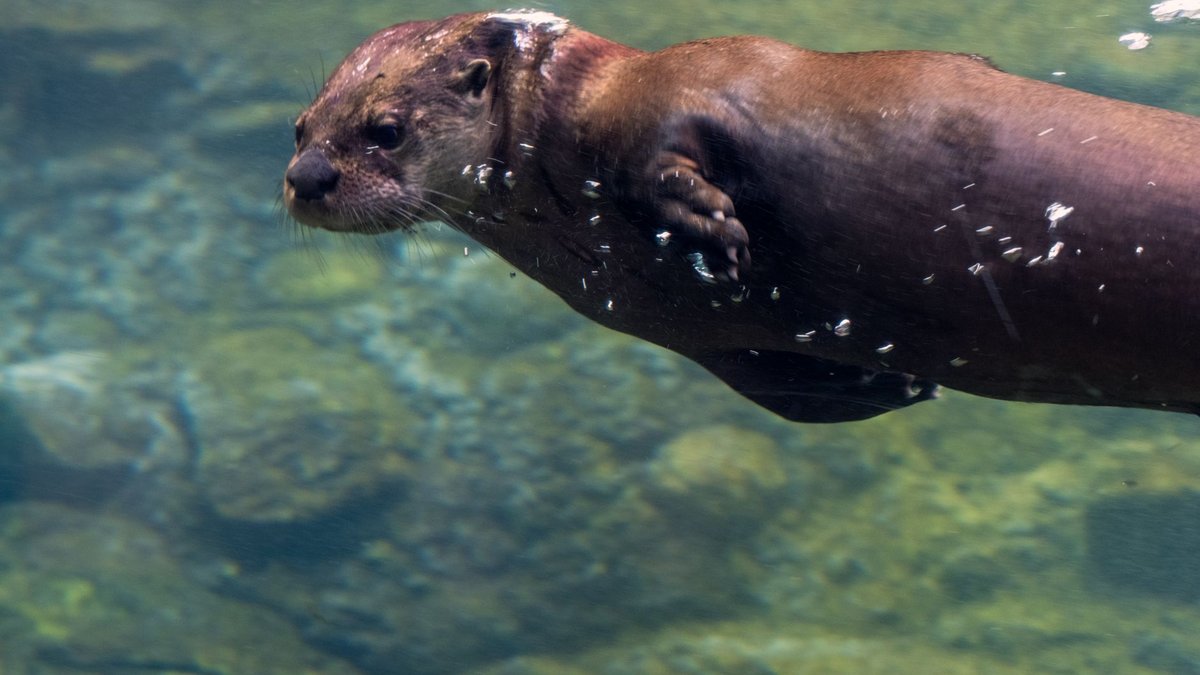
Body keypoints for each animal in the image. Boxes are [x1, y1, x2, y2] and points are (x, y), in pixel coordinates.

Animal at [284, 10, 1200, 423]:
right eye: (299, 126)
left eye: (385, 130)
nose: (306, 177)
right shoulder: (706, 339)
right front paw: (893, 385)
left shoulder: (686, 86)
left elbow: (667, 151)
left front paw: (708, 225)